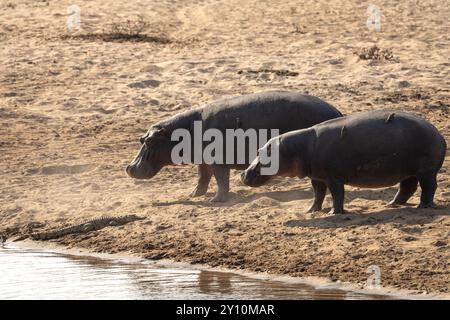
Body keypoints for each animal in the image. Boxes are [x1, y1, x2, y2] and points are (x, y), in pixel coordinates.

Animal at [125, 90, 342, 201]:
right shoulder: (204, 160)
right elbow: (203, 177)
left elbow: (221, 180)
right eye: (141, 139)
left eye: (149, 141)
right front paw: (194, 194)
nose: (129, 168)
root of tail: (337, 111)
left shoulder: (218, 161)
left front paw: (215, 200)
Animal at [241, 110, 444, 215]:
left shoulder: (334, 178)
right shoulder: (317, 177)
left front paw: (334, 213)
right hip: (408, 171)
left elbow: (337, 195)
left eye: (262, 152)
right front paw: (311, 211)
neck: (299, 147)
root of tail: (437, 132)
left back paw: (422, 206)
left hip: (426, 171)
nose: (242, 174)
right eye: (258, 150)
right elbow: (318, 194)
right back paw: (391, 204)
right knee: (407, 187)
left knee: (429, 187)